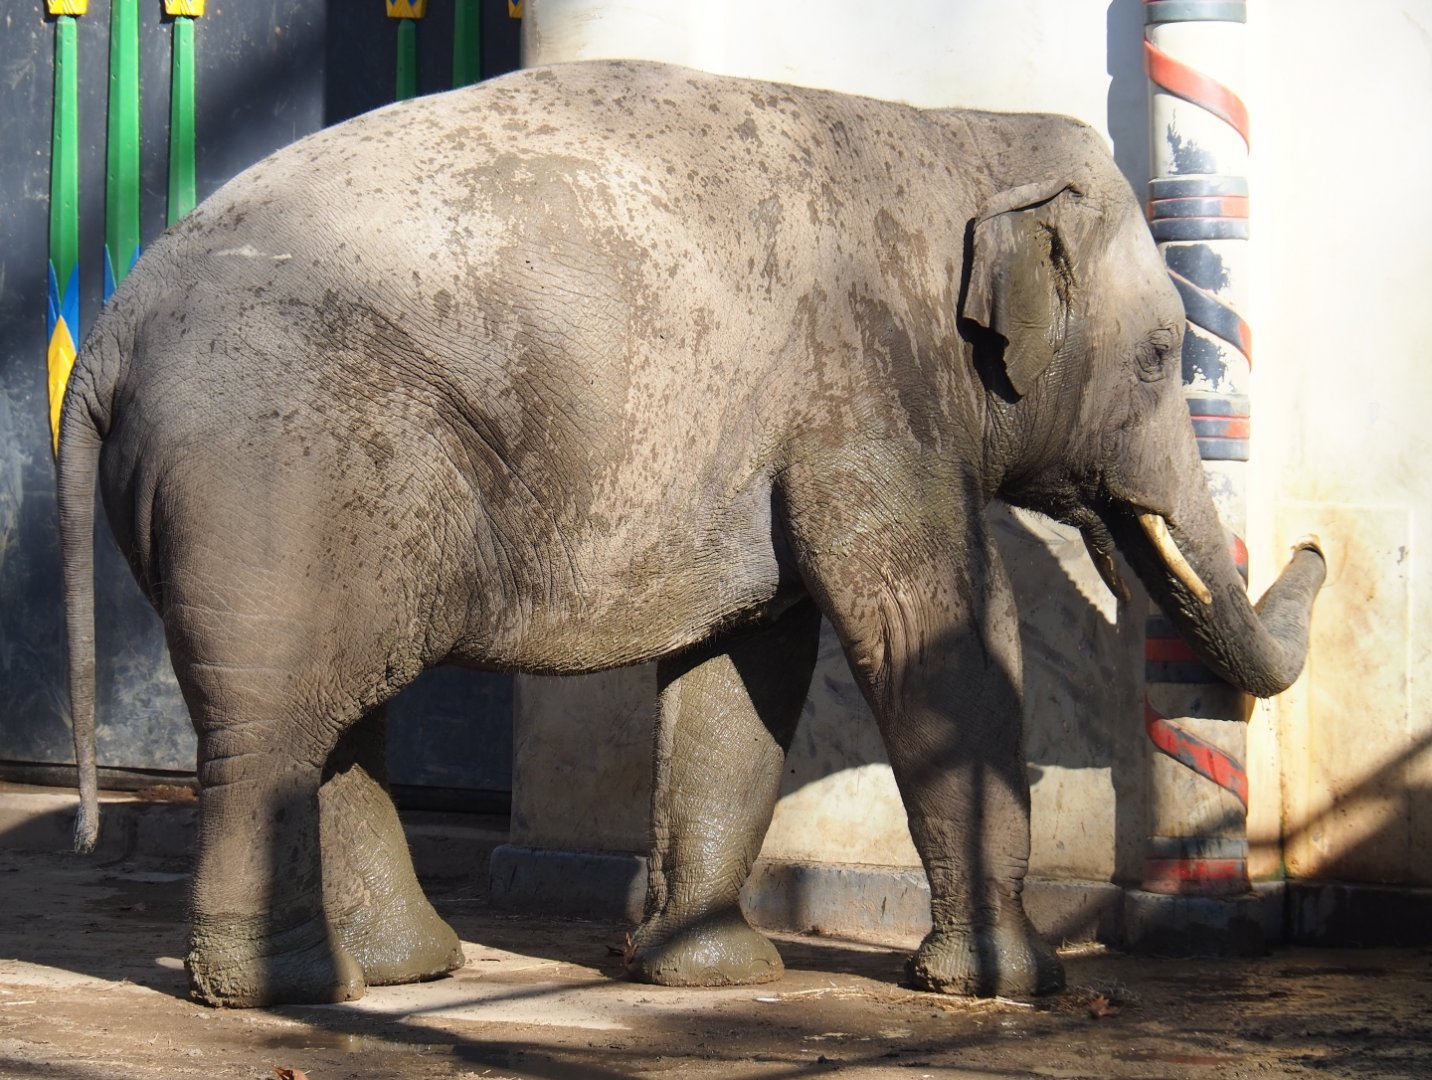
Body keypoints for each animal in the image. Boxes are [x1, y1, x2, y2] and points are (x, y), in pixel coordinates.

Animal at [57, 60, 1324, 1008]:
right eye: (1162, 355)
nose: (1314, 549)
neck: (953, 137)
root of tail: (110, 340)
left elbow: (748, 659)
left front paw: (707, 974)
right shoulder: (867, 382)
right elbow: (931, 625)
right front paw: (1013, 987)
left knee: (338, 708)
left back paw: (393, 973)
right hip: (277, 470)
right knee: (274, 722)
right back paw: (284, 991)